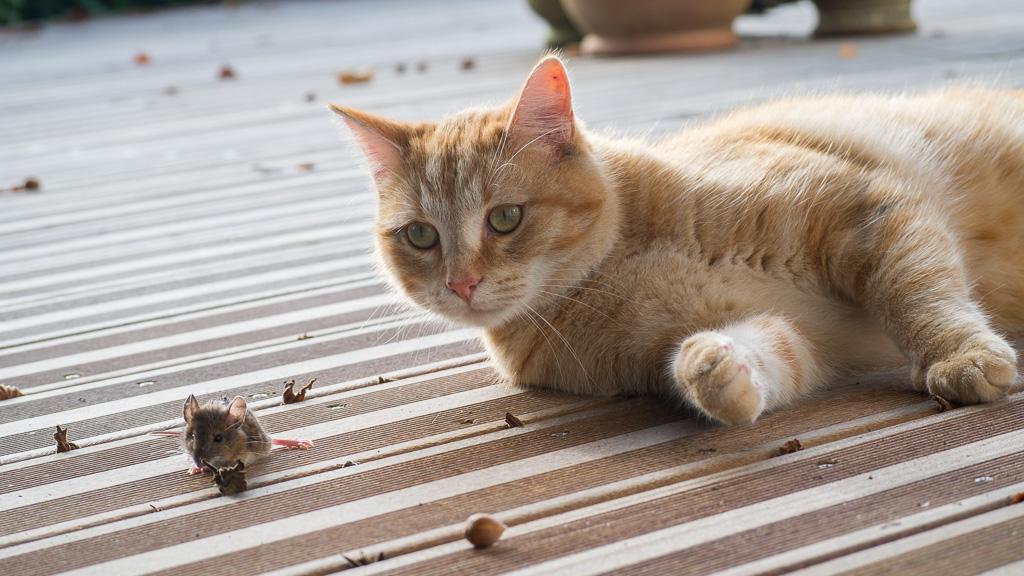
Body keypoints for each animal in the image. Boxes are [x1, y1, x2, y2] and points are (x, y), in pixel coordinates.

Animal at [331, 57, 1019, 422]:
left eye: (505, 219)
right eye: (421, 235)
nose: (460, 283)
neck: (617, 265)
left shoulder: (865, 212)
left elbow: (920, 297)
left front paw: (960, 358)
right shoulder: (809, 339)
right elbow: (766, 355)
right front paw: (713, 371)